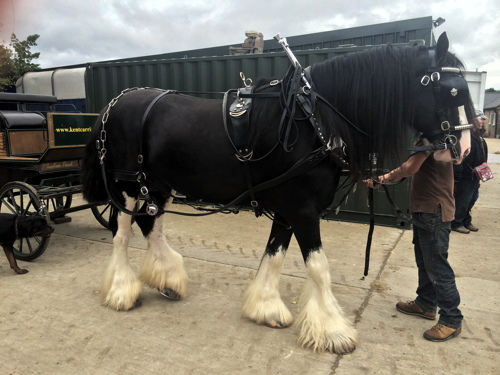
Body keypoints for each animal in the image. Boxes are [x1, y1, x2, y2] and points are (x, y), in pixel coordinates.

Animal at [81, 33, 472, 356]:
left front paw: (265, 307)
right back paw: (122, 291)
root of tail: (114, 104)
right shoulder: (303, 209)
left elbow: (274, 255)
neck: (315, 119)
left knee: (152, 228)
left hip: (159, 187)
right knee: (123, 234)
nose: (464, 149)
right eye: (452, 91)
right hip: (129, 187)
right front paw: (333, 331)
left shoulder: (287, 209)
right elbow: (318, 266)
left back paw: (168, 279)